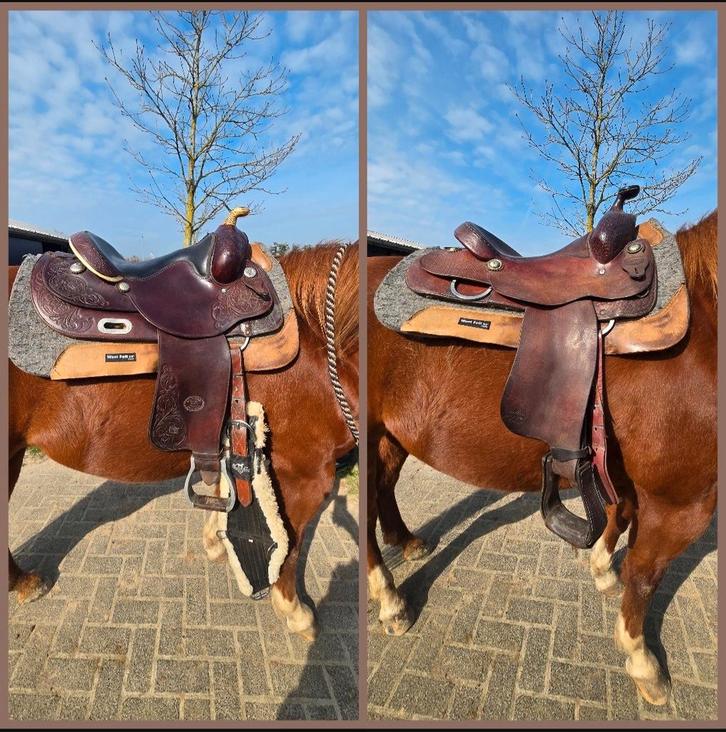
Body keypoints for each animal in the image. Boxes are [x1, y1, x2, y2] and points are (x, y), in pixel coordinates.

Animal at [9, 241, 359, 642]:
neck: (322, 343)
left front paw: (217, 541)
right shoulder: (308, 475)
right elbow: (290, 545)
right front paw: (296, 612)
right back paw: (26, 583)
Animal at [366, 212, 716, 706]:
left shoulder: (636, 481)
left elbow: (620, 516)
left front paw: (601, 569)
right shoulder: (683, 502)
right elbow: (645, 575)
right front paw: (643, 662)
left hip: (392, 434)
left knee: (383, 486)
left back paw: (409, 543)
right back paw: (392, 604)